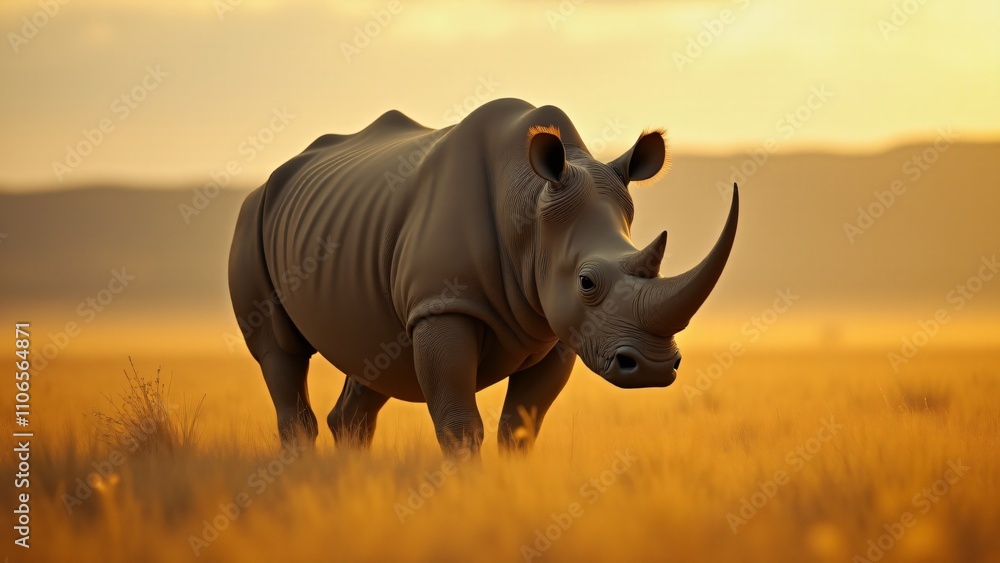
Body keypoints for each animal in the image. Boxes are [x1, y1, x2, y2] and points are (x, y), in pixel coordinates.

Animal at [229, 98, 738, 454]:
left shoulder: (559, 328)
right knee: (281, 351)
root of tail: (273, 177)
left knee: (373, 355)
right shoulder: (442, 305)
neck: (530, 209)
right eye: (587, 283)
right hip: (251, 218)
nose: (653, 368)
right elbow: (459, 426)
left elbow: (521, 426)